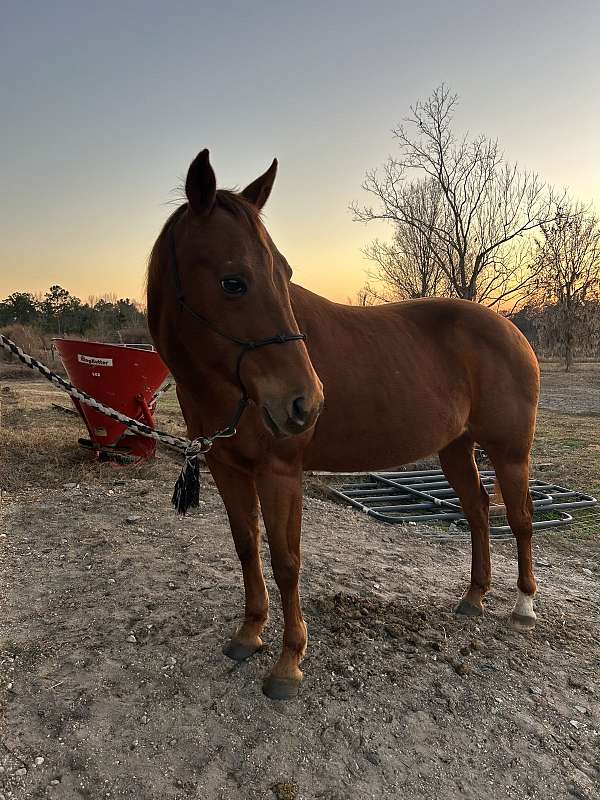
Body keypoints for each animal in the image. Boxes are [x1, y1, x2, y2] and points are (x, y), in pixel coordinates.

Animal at [147, 149, 540, 700]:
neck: (231, 389)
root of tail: (511, 329)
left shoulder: (280, 472)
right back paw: (474, 597)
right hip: (455, 448)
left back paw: (523, 606)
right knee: (480, 511)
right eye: (233, 281)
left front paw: (288, 663)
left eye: (284, 273)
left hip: (509, 451)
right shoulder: (228, 468)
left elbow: (286, 561)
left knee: (520, 518)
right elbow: (247, 548)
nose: (305, 403)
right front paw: (248, 634)